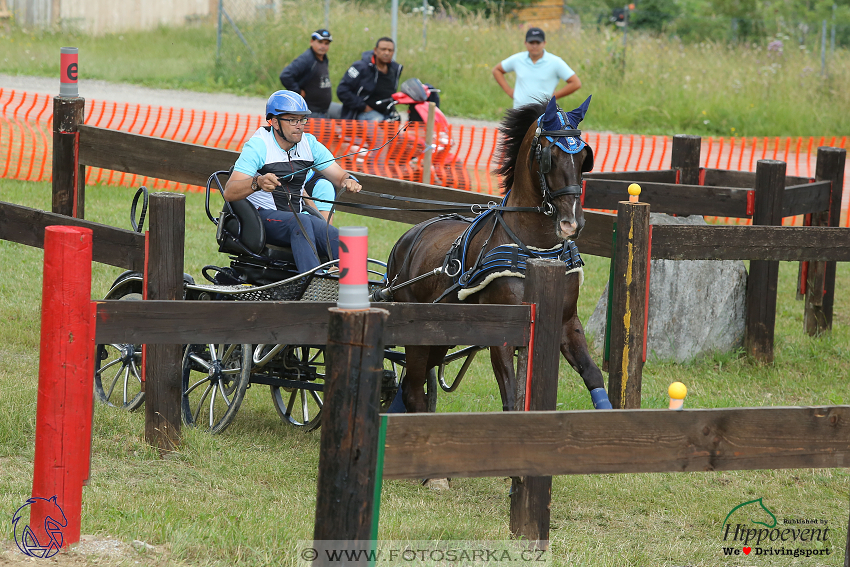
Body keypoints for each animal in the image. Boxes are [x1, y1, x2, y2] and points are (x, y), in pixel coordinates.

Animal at [384, 97, 608, 414]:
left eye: (584, 157)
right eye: (550, 156)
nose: (572, 222)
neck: (536, 251)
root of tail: (407, 239)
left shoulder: (567, 322)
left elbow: (593, 375)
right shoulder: (503, 332)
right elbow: (511, 400)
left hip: (440, 336)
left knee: (409, 387)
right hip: (416, 333)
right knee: (413, 390)